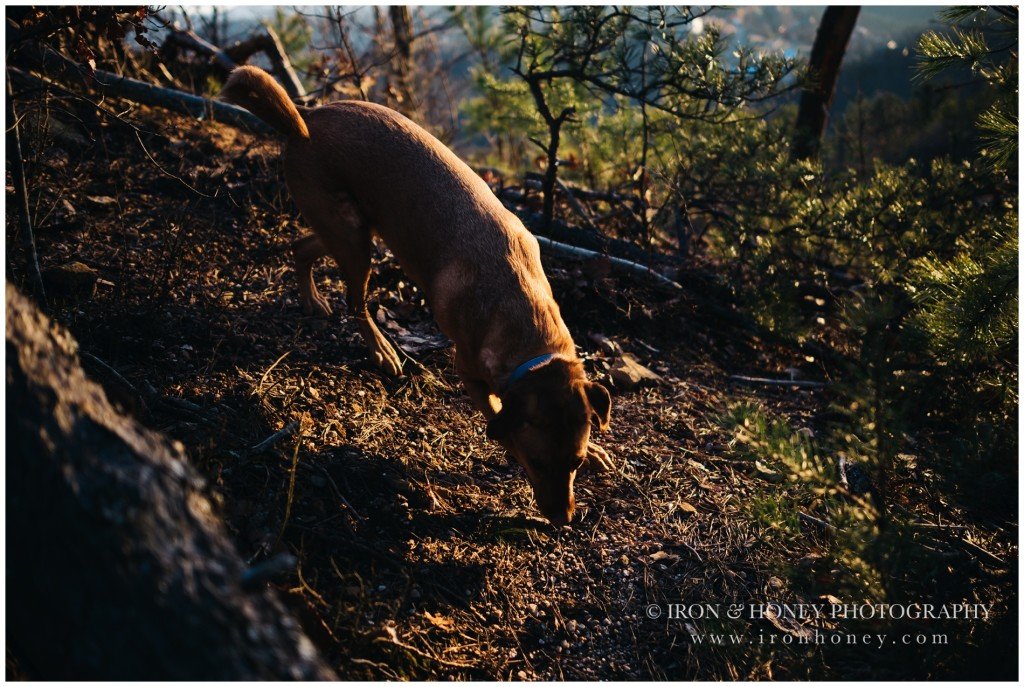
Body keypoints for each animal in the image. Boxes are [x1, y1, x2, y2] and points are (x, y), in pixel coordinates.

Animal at [221, 66, 610, 528]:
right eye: (537, 463)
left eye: (576, 463)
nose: (564, 519)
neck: (523, 316)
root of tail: (306, 117)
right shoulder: (470, 373)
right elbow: (496, 415)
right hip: (353, 239)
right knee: (355, 302)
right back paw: (381, 351)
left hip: (352, 230)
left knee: (301, 248)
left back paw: (313, 301)